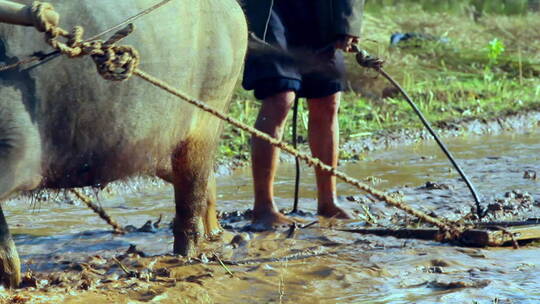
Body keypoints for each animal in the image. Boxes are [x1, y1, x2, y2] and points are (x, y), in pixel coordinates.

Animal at [0, 0, 248, 288]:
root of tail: (234, 10)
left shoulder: (15, 152)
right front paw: (10, 277)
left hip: (205, 122)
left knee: (191, 197)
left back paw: (187, 253)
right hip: (162, 150)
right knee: (206, 183)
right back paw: (216, 235)